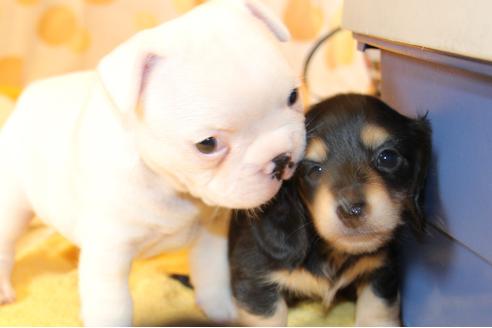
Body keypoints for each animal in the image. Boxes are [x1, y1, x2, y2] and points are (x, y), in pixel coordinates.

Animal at [0, 0, 304, 326]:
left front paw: (221, 312)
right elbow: (115, 307)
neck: (169, 185)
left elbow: (212, 275)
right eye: (207, 144)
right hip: (12, 203)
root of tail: (29, 96)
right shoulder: (109, 255)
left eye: (294, 96)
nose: (281, 158)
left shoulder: (211, 236)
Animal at [228, 94, 430, 326]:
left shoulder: (381, 271)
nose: (351, 210)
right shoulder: (254, 281)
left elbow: (377, 308)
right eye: (313, 170)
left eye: (387, 157)